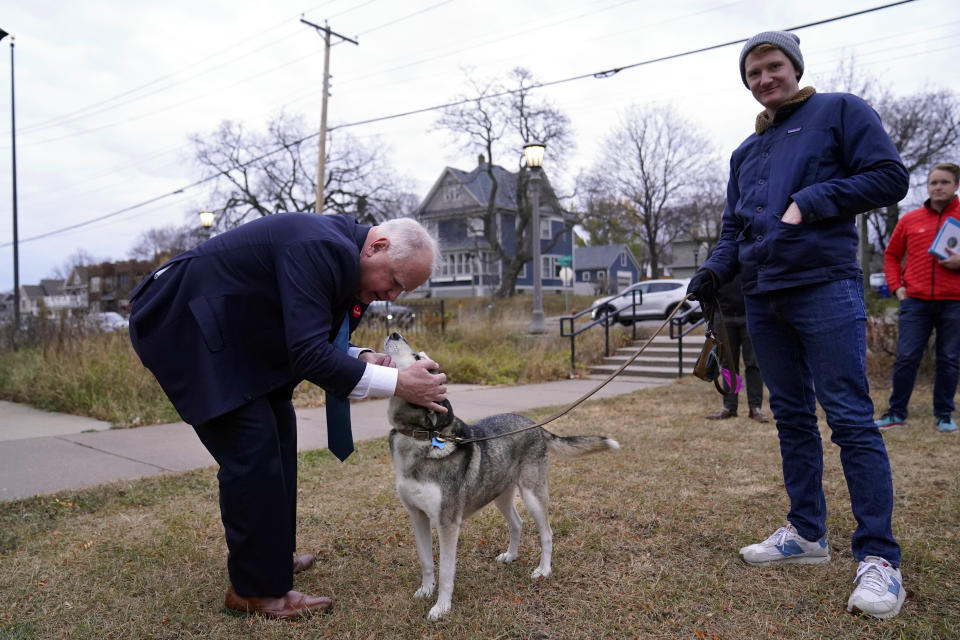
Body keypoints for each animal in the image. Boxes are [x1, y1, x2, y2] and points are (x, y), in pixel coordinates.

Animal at [384, 330, 624, 620]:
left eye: (418, 357)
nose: (394, 332)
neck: (419, 436)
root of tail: (536, 425)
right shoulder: (417, 516)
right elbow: (426, 561)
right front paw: (426, 591)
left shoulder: (447, 523)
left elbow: (447, 572)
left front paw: (441, 607)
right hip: (500, 495)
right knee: (517, 523)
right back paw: (511, 556)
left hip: (533, 495)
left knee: (547, 533)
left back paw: (544, 570)